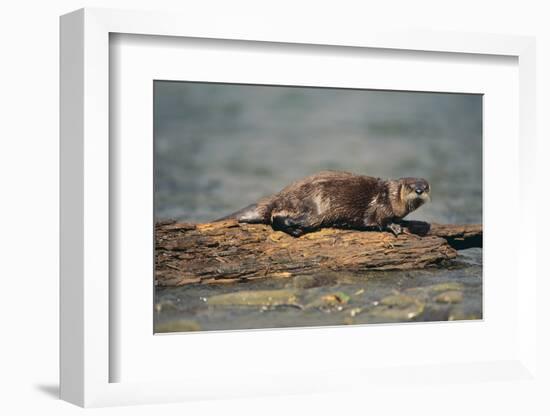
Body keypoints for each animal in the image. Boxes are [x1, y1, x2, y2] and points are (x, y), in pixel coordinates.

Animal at [218, 171, 434, 237]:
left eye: (426, 186)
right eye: (410, 186)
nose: (419, 190)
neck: (390, 196)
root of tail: (280, 195)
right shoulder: (379, 207)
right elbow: (378, 221)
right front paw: (395, 227)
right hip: (312, 210)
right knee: (276, 218)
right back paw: (295, 231)